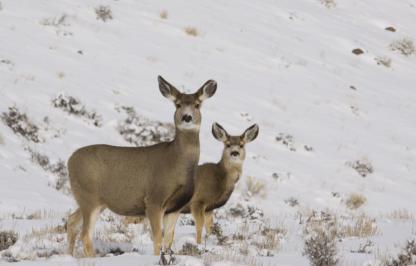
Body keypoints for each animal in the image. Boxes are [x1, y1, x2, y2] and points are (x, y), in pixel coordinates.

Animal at [66, 75, 216, 256]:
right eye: (178, 104)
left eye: (197, 104)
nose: (187, 117)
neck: (177, 164)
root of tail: (70, 161)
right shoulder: (154, 199)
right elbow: (157, 238)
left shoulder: (176, 207)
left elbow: (169, 239)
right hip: (89, 197)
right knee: (85, 234)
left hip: (92, 200)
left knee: (71, 221)